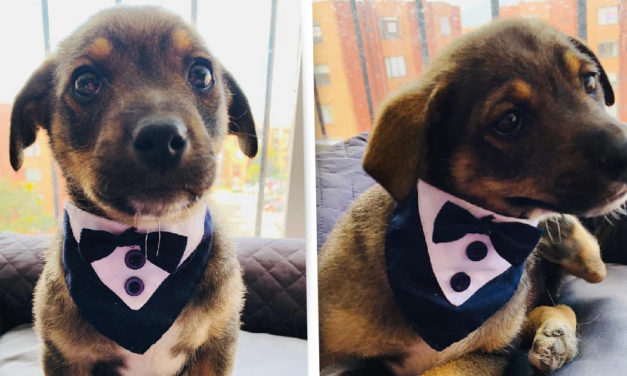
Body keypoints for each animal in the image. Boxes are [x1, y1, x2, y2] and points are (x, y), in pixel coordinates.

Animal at [7, 6, 258, 376]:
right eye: (85, 83)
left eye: (202, 74)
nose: (161, 138)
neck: (145, 238)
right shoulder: (66, 357)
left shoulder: (215, 345)